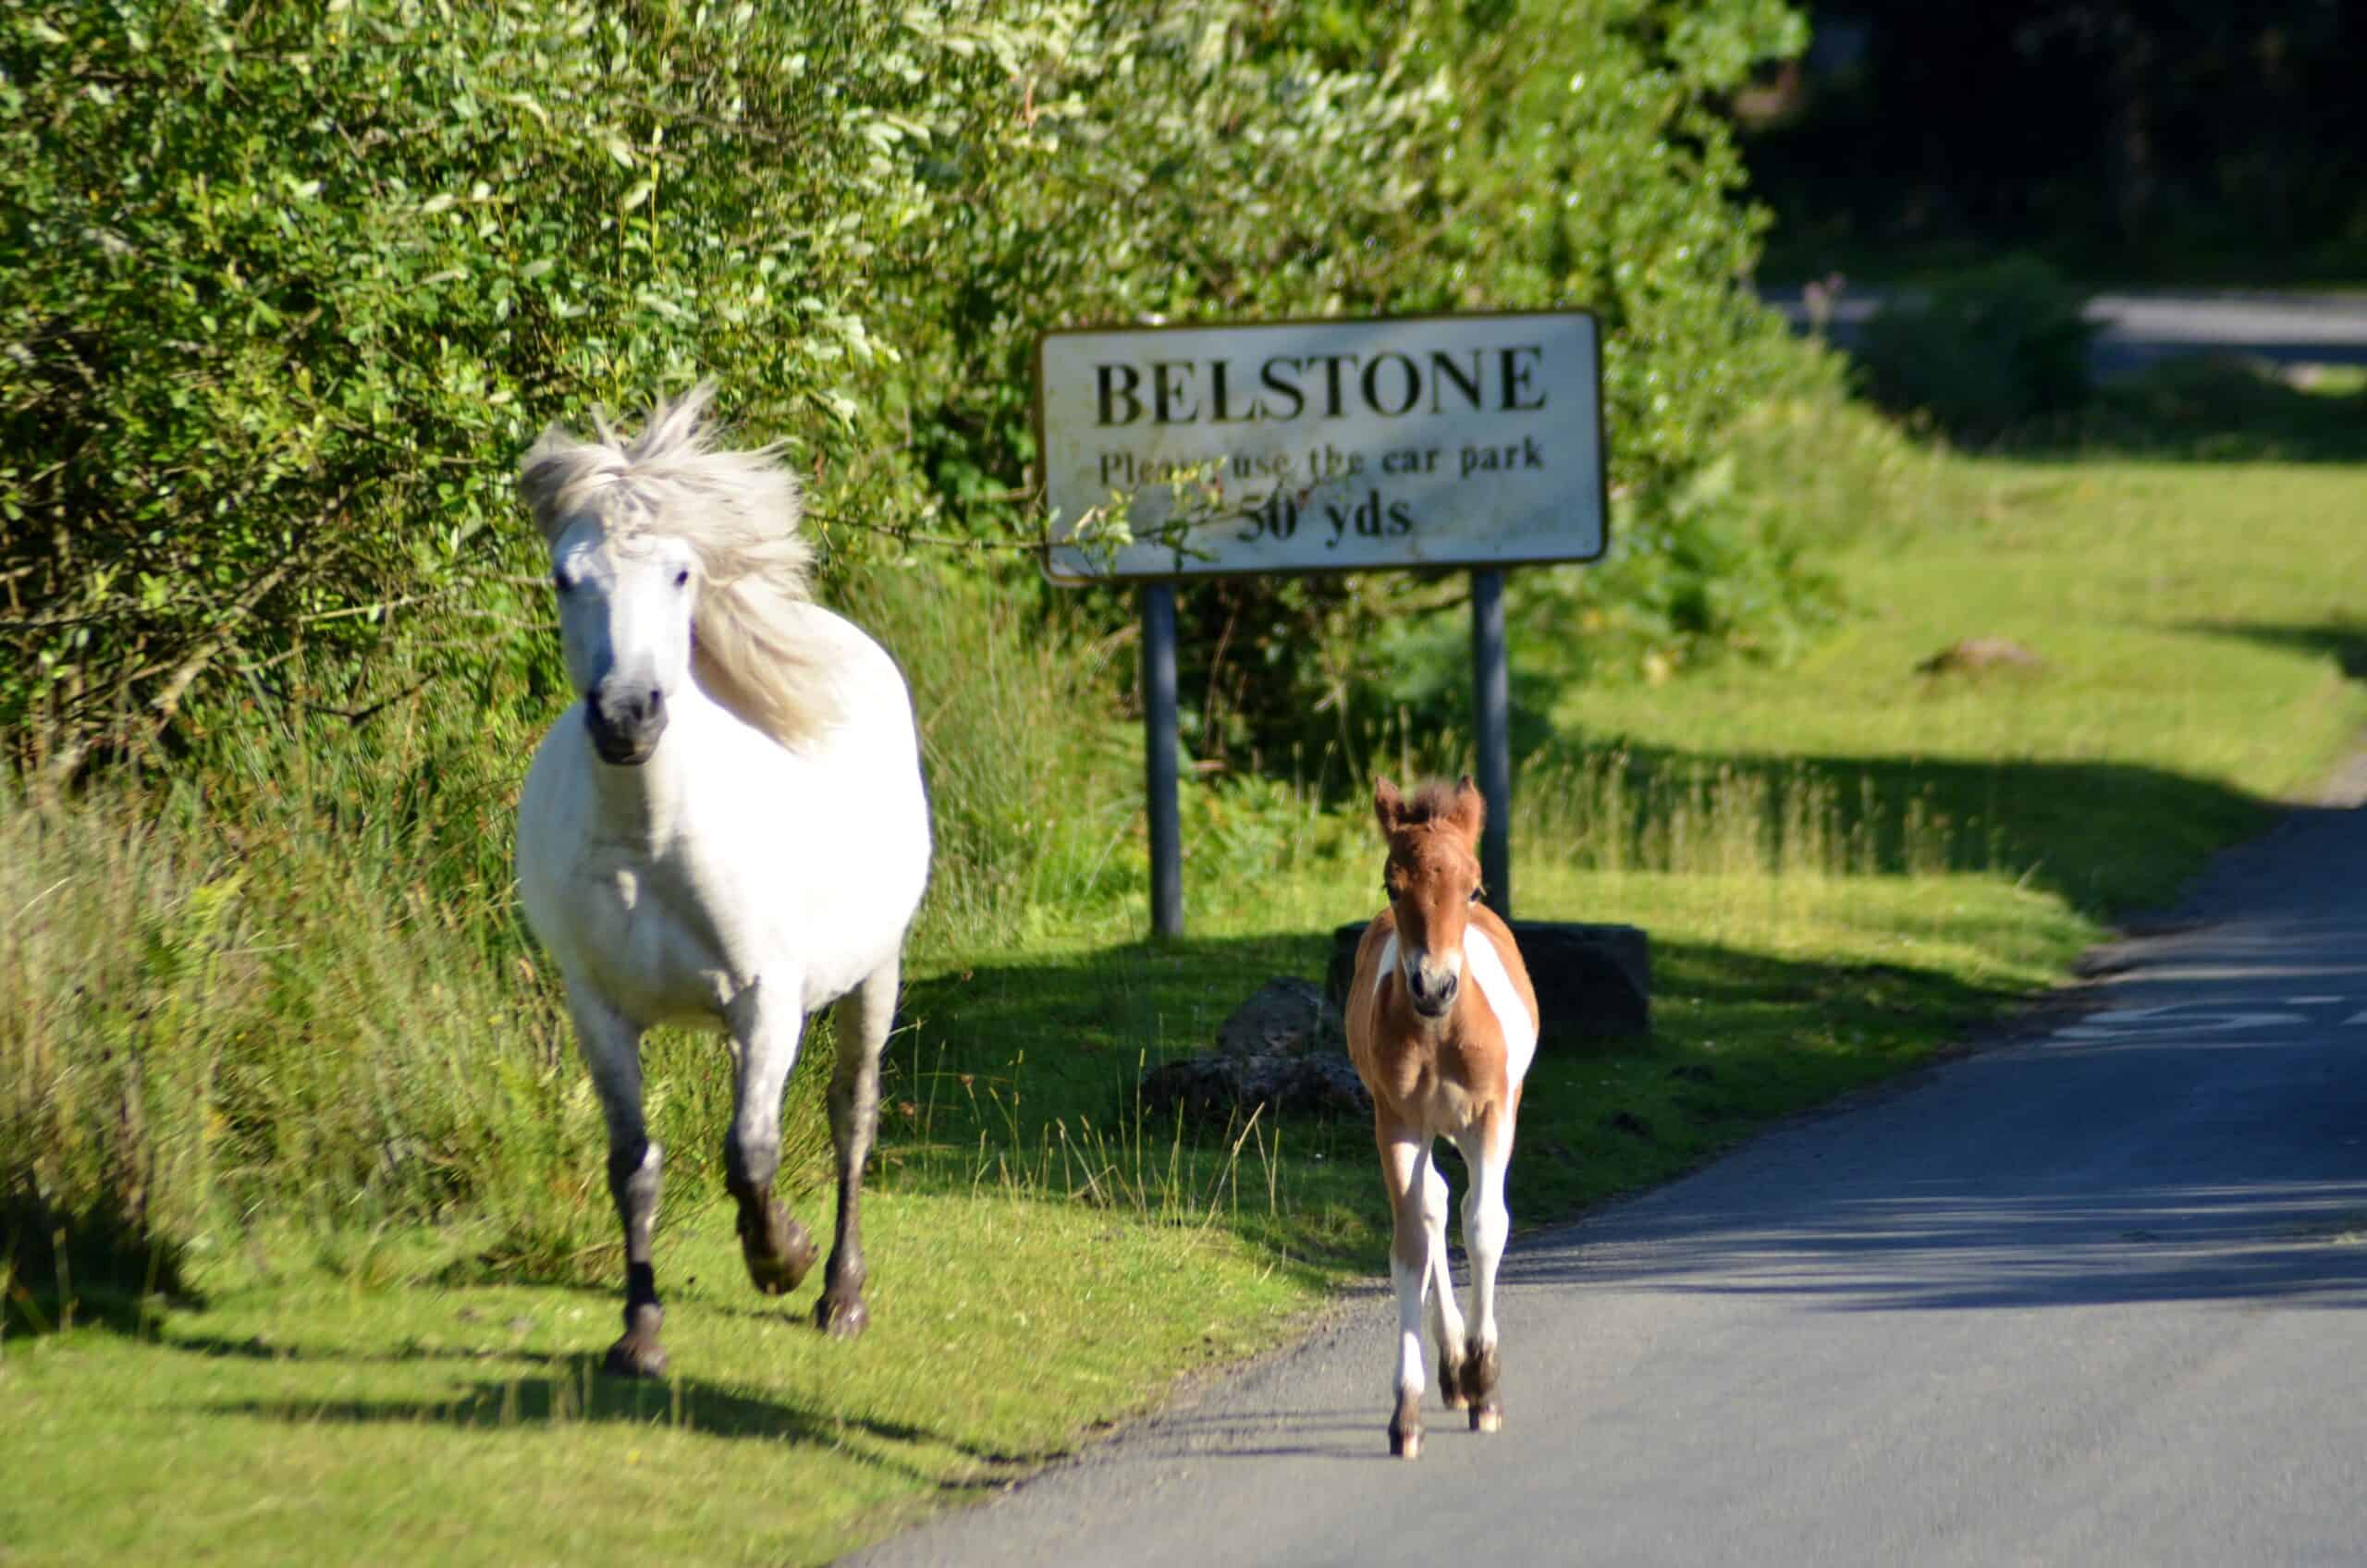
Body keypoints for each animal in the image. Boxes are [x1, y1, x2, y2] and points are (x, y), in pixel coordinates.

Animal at [513, 386, 927, 1383]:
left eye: (678, 576)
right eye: (564, 578)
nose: (627, 715)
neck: (650, 842)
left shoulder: (766, 998)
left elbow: (751, 1152)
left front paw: (783, 1258)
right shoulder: (598, 1010)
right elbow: (635, 1162)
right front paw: (640, 1333)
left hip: (876, 971)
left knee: (851, 1115)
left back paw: (840, 1294)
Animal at [1354, 781, 1533, 1468]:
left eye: (1474, 888)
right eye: (1391, 884)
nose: (1433, 986)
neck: (1438, 1035)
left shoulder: (1493, 1113)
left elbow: (1485, 1226)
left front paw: (1486, 1386)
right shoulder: (1397, 1120)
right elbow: (1409, 1245)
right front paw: (1407, 1412)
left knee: (1455, 1207)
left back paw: (1466, 1373)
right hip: (1424, 1127)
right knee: (1431, 1205)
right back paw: (1450, 1366)